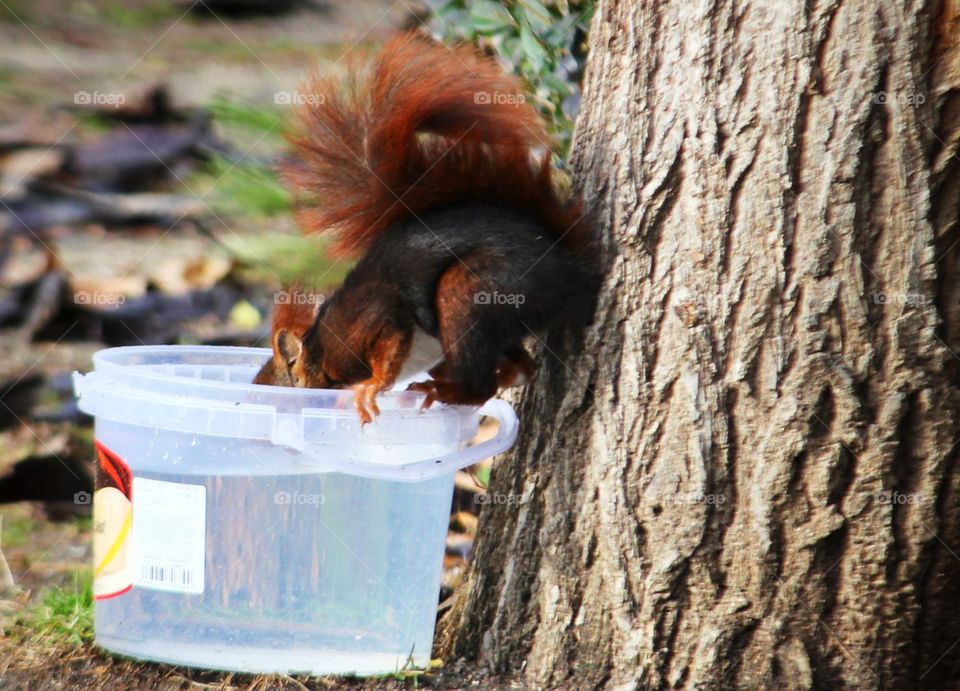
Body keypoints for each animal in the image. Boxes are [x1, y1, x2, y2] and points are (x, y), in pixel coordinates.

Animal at [255, 32, 600, 423]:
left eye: (271, 397)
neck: (320, 351)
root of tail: (571, 269)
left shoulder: (372, 322)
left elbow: (388, 348)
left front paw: (370, 387)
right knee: (520, 368)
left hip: (473, 290)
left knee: (479, 384)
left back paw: (440, 389)